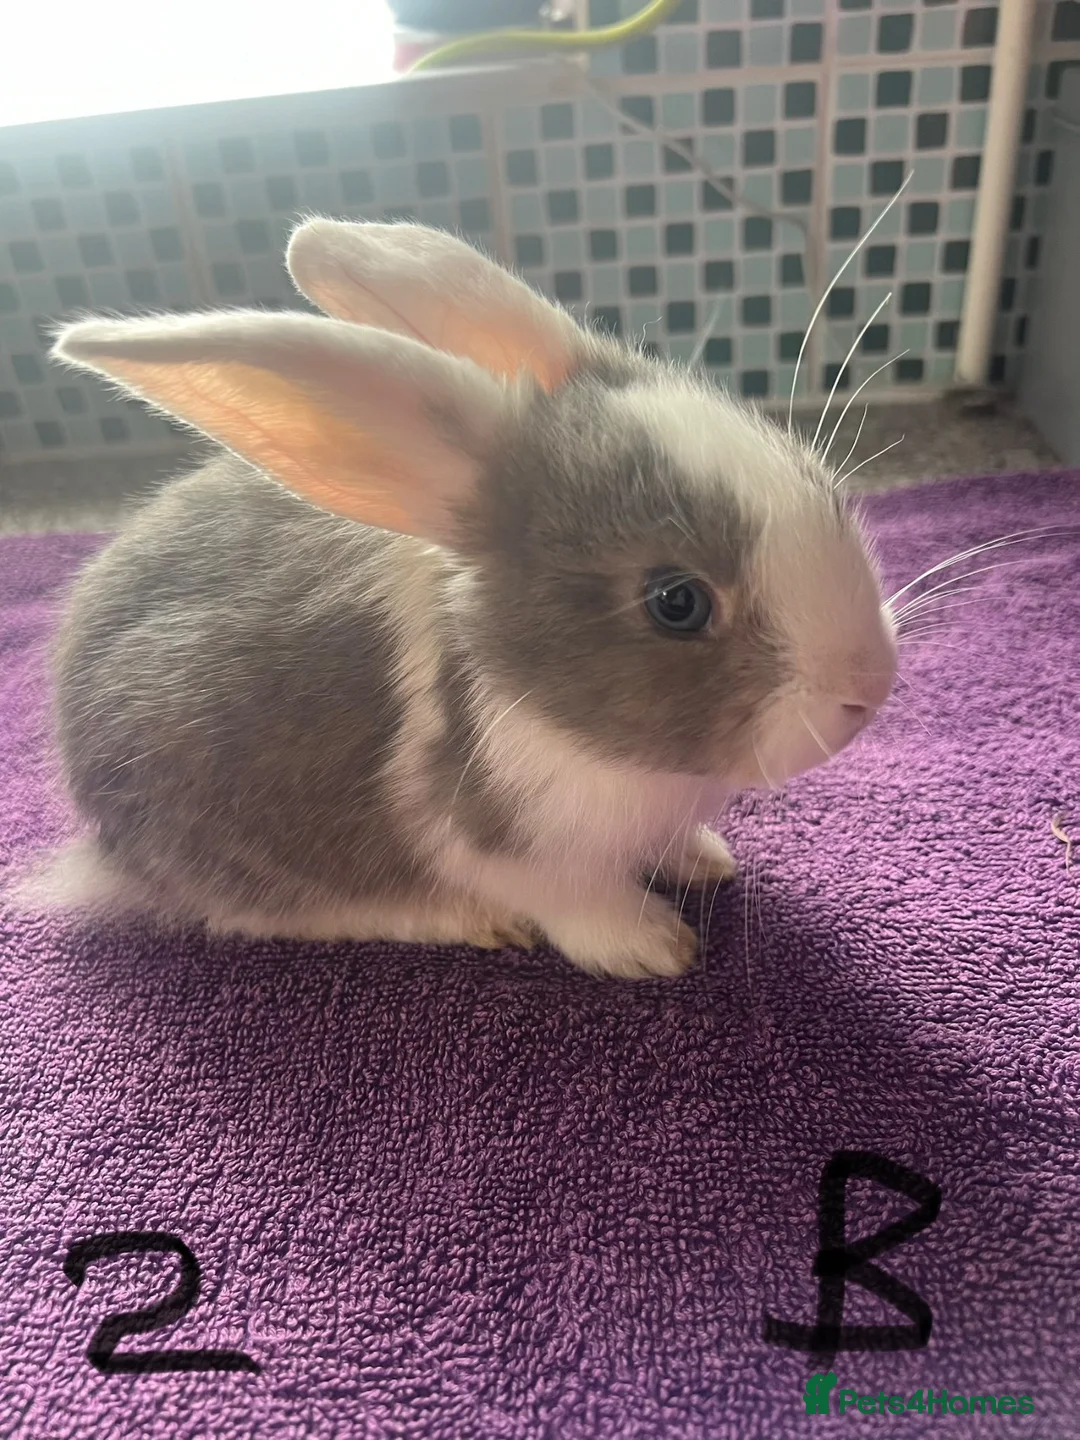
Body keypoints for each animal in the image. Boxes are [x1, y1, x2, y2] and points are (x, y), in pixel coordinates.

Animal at [28, 219, 897, 980]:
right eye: (676, 602)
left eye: (818, 477)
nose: (872, 686)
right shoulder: (505, 838)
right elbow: (579, 901)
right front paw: (655, 946)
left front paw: (706, 860)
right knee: (267, 912)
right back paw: (463, 919)